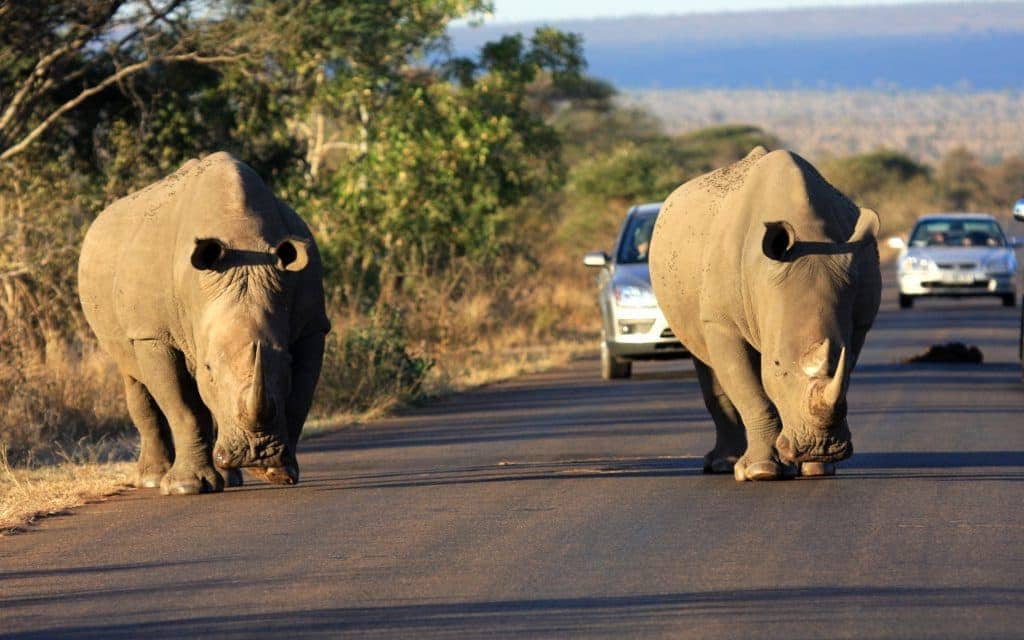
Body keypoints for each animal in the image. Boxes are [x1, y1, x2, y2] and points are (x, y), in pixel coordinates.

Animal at [79, 152, 330, 495]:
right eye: (209, 368)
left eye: (287, 365)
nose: (256, 452)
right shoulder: (153, 334)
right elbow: (184, 408)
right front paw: (186, 488)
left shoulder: (312, 326)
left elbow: (299, 399)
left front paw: (277, 471)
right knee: (133, 377)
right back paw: (152, 480)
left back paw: (229, 477)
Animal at [649, 147, 881, 481]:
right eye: (777, 364)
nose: (821, 448)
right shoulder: (722, 322)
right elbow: (750, 392)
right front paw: (762, 471)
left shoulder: (860, 320)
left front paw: (816, 467)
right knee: (705, 360)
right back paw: (723, 464)